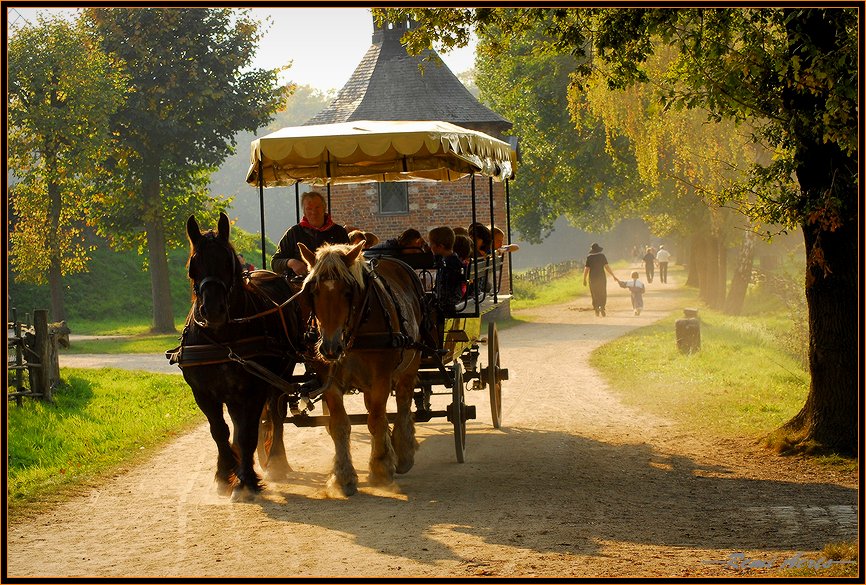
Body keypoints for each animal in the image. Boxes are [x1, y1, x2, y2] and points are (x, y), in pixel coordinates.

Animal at [172, 212, 304, 500]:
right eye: (193, 265)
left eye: (227, 261)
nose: (213, 310)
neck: (223, 339)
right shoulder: (204, 393)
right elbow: (220, 431)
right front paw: (225, 474)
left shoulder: (254, 390)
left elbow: (247, 433)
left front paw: (246, 480)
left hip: (280, 376)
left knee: (275, 415)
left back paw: (277, 461)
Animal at [296, 241, 426, 492]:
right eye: (313, 292)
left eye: (348, 292)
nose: (330, 347)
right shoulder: (330, 382)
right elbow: (340, 425)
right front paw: (344, 476)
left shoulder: (381, 379)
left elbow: (376, 420)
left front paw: (381, 468)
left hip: (410, 363)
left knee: (403, 403)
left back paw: (403, 452)